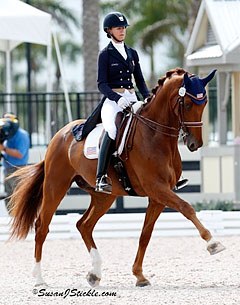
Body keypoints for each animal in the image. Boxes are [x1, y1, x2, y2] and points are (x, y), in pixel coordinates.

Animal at [8, 67, 224, 288]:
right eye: (187, 103)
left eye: (204, 103)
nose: (194, 144)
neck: (155, 135)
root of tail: (59, 135)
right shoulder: (157, 188)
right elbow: (186, 208)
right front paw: (213, 243)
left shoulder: (158, 196)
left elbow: (145, 234)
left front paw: (139, 275)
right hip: (55, 186)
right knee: (42, 226)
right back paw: (39, 279)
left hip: (104, 196)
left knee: (84, 225)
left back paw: (94, 274)